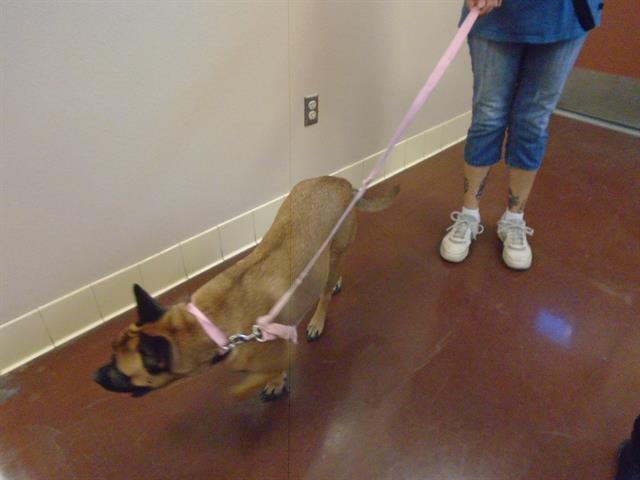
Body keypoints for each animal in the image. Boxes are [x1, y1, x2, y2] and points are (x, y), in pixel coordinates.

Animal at [95, 176, 398, 402]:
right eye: (110, 352)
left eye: (121, 373)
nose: (94, 376)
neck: (203, 324)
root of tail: (339, 183)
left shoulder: (278, 353)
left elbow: (256, 378)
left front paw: (270, 382)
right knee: (328, 275)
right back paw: (333, 283)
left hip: (335, 249)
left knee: (324, 292)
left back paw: (318, 319)